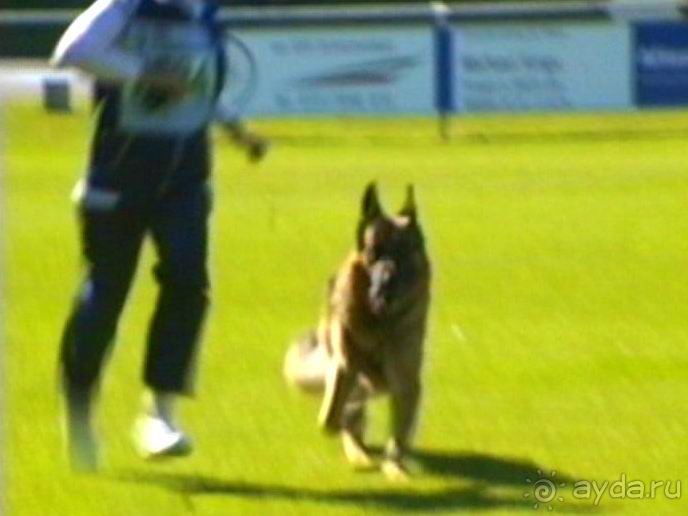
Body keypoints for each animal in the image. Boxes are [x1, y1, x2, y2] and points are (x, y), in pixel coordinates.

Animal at [282, 182, 428, 480]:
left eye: (403, 253)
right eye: (373, 252)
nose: (385, 290)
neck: (379, 324)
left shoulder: (405, 380)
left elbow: (398, 439)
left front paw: (396, 469)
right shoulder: (345, 367)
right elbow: (330, 419)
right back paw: (358, 452)